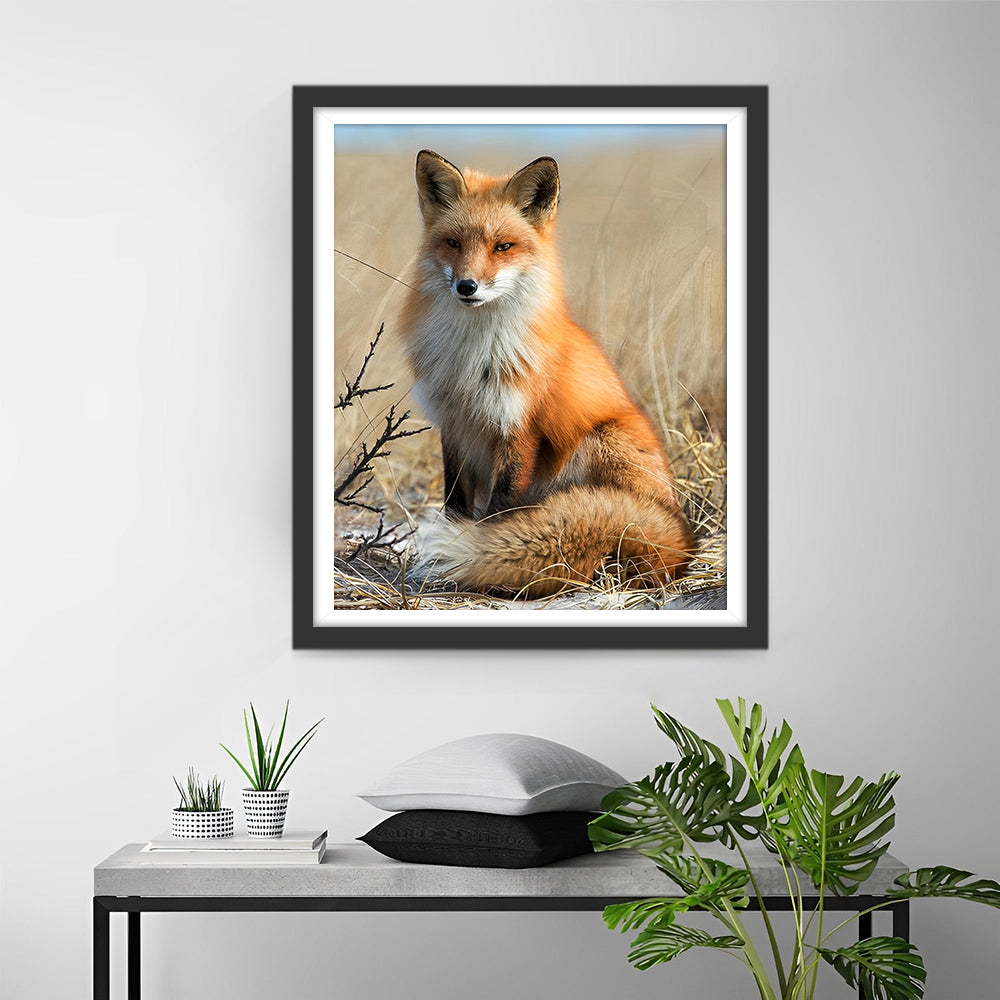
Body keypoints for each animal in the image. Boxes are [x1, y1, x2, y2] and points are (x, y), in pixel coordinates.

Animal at [400, 149, 695, 598]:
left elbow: (499, 510)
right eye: (453, 243)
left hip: (598, 440)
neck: (474, 356)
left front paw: (483, 553)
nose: (466, 286)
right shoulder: (454, 425)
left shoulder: (518, 427)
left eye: (503, 246)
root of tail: (682, 540)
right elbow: (454, 501)